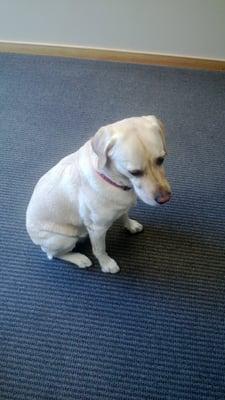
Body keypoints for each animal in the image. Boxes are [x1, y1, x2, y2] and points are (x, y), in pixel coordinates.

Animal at [25, 114, 171, 274]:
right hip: (62, 240)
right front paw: (107, 264)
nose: (165, 199)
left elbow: (124, 215)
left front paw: (131, 225)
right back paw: (79, 258)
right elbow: (99, 249)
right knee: (52, 255)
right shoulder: (97, 229)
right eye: (134, 172)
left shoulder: (122, 207)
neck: (114, 180)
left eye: (161, 160)